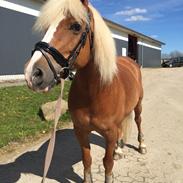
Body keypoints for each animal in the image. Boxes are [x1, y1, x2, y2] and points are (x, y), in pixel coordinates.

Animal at [24, 0, 147, 182]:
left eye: (76, 26)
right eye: (46, 28)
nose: (32, 74)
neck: (96, 93)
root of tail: (130, 61)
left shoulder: (109, 134)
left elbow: (107, 164)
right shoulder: (80, 132)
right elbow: (87, 160)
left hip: (138, 105)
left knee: (138, 121)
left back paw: (142, 145)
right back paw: (118, 150)